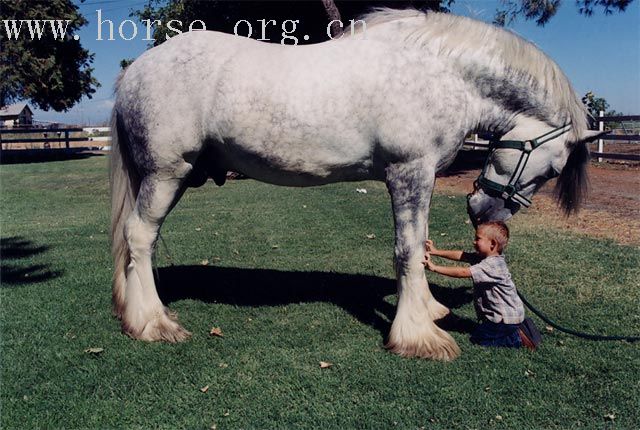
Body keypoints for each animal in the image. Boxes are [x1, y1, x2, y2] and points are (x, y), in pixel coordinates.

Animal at [111, 9, 604, 360]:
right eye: (553, 170)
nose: (485, 214)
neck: (439, 74)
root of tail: (135, 72)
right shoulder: (409, 172)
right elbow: (407, 250)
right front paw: (418, 337)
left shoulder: (421, 178)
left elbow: (421, 247)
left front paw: (429, 311)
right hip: (167, 174)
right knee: (140, 236)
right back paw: (155, 324)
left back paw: (136, 316)